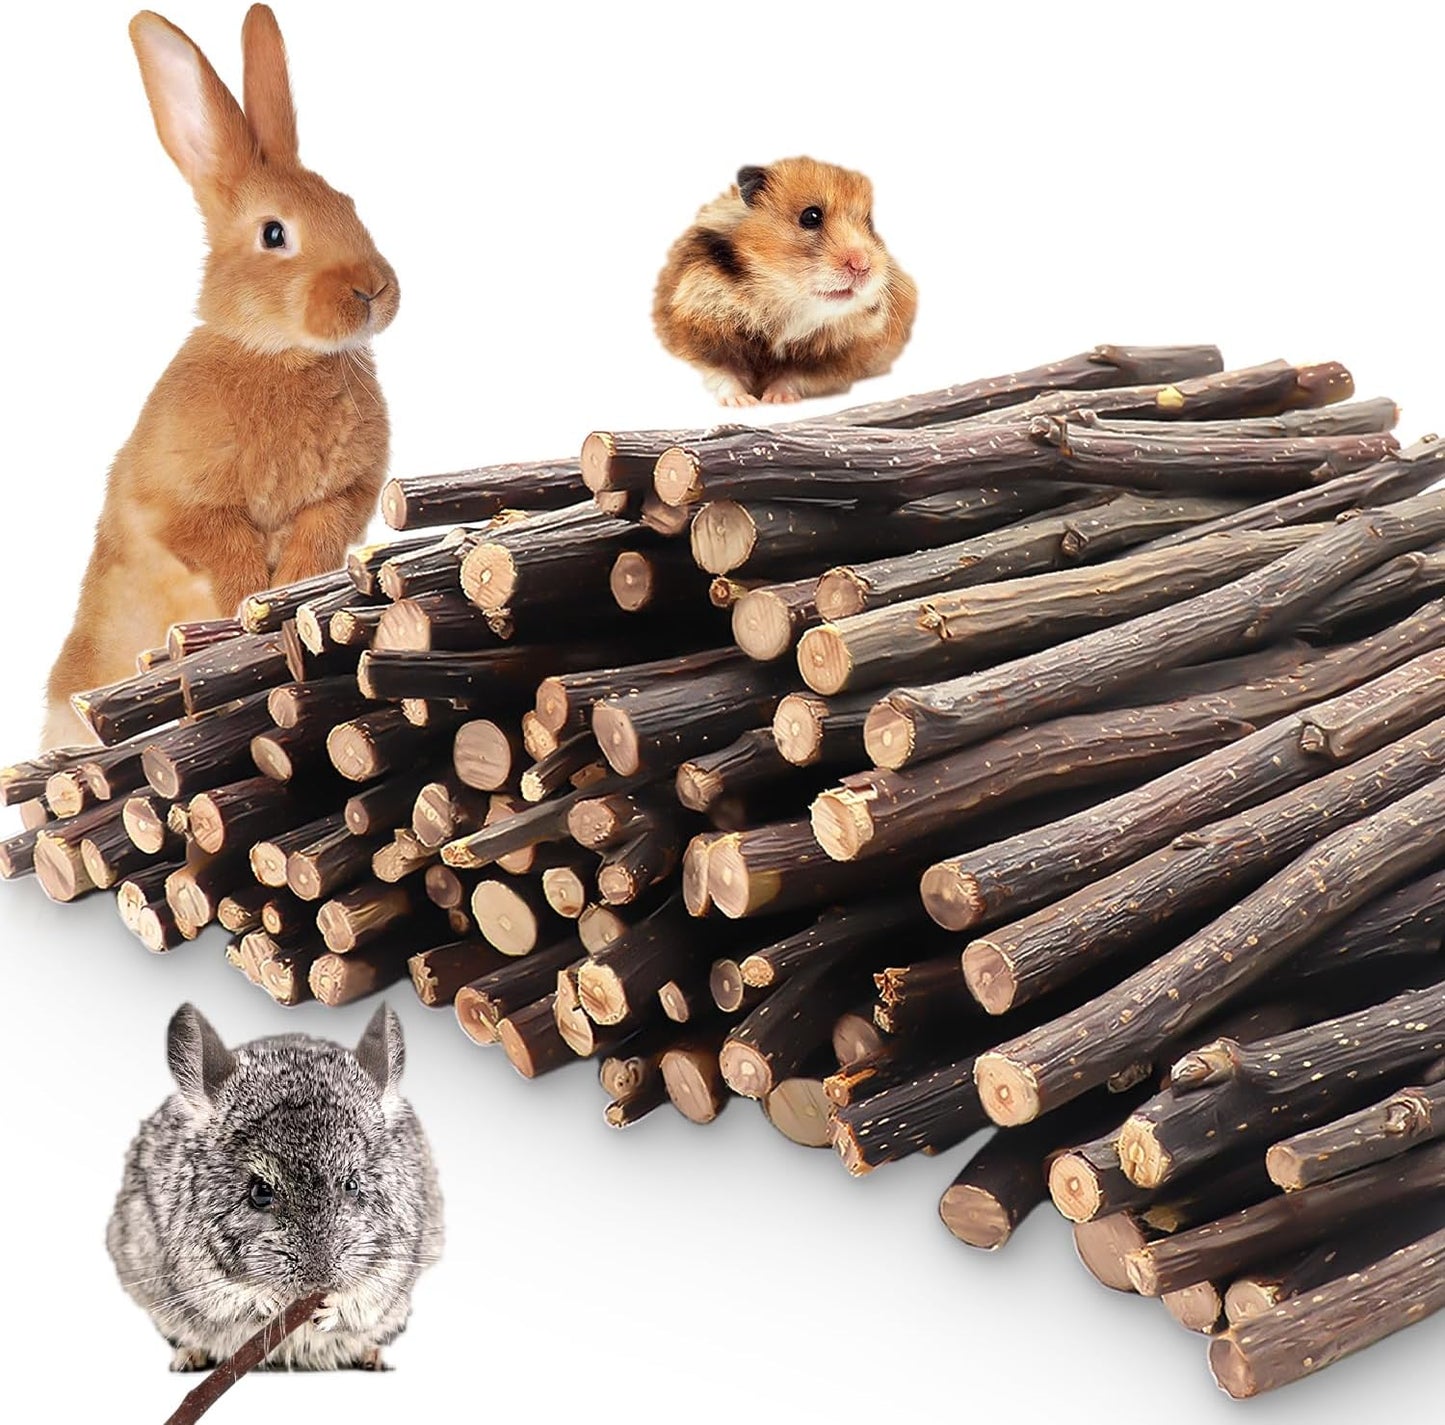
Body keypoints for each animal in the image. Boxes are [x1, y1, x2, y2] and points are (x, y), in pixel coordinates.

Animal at [43, 5, 398, 749]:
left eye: (349, 204)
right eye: (274, 234)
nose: (373, 289)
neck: (279, 355)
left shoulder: (346, 496)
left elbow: (318, 535)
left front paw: (289, 591)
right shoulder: (171, 506)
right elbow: (222, 542)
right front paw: (245, 600)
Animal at [107, 1002, 443, 1371]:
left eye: (352, 1183)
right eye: (260, 1192)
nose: (319, 1280)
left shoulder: (399, 1257)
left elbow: (367, 1294)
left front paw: (331, 1308)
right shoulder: (190, 1262)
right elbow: (226, 1296)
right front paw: (268, 1301)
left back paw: (373, 1356)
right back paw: (189, 1357)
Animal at [652, 156, 917, 406]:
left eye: (869, 225)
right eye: (811, 216)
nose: (862, 266)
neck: (781, 303)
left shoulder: (837, 359)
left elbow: (794, 377)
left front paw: (775, 399)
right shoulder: (700, 329)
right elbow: (723, 372)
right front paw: (742, 403)